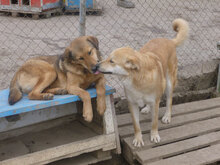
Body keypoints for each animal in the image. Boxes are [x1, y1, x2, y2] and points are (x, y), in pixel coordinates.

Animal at [96, 18, 189, 146]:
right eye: (108, 58)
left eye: (112, 61)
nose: (96, 65)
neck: (137, 79)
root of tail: (169, 41)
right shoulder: (132, 104)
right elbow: (136, 125)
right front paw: (138, 139)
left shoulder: (155, 103)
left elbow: (154, 123)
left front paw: (154, 135)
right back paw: (147, 108)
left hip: (169, 83)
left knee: (169, 101)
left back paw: (167, 116)